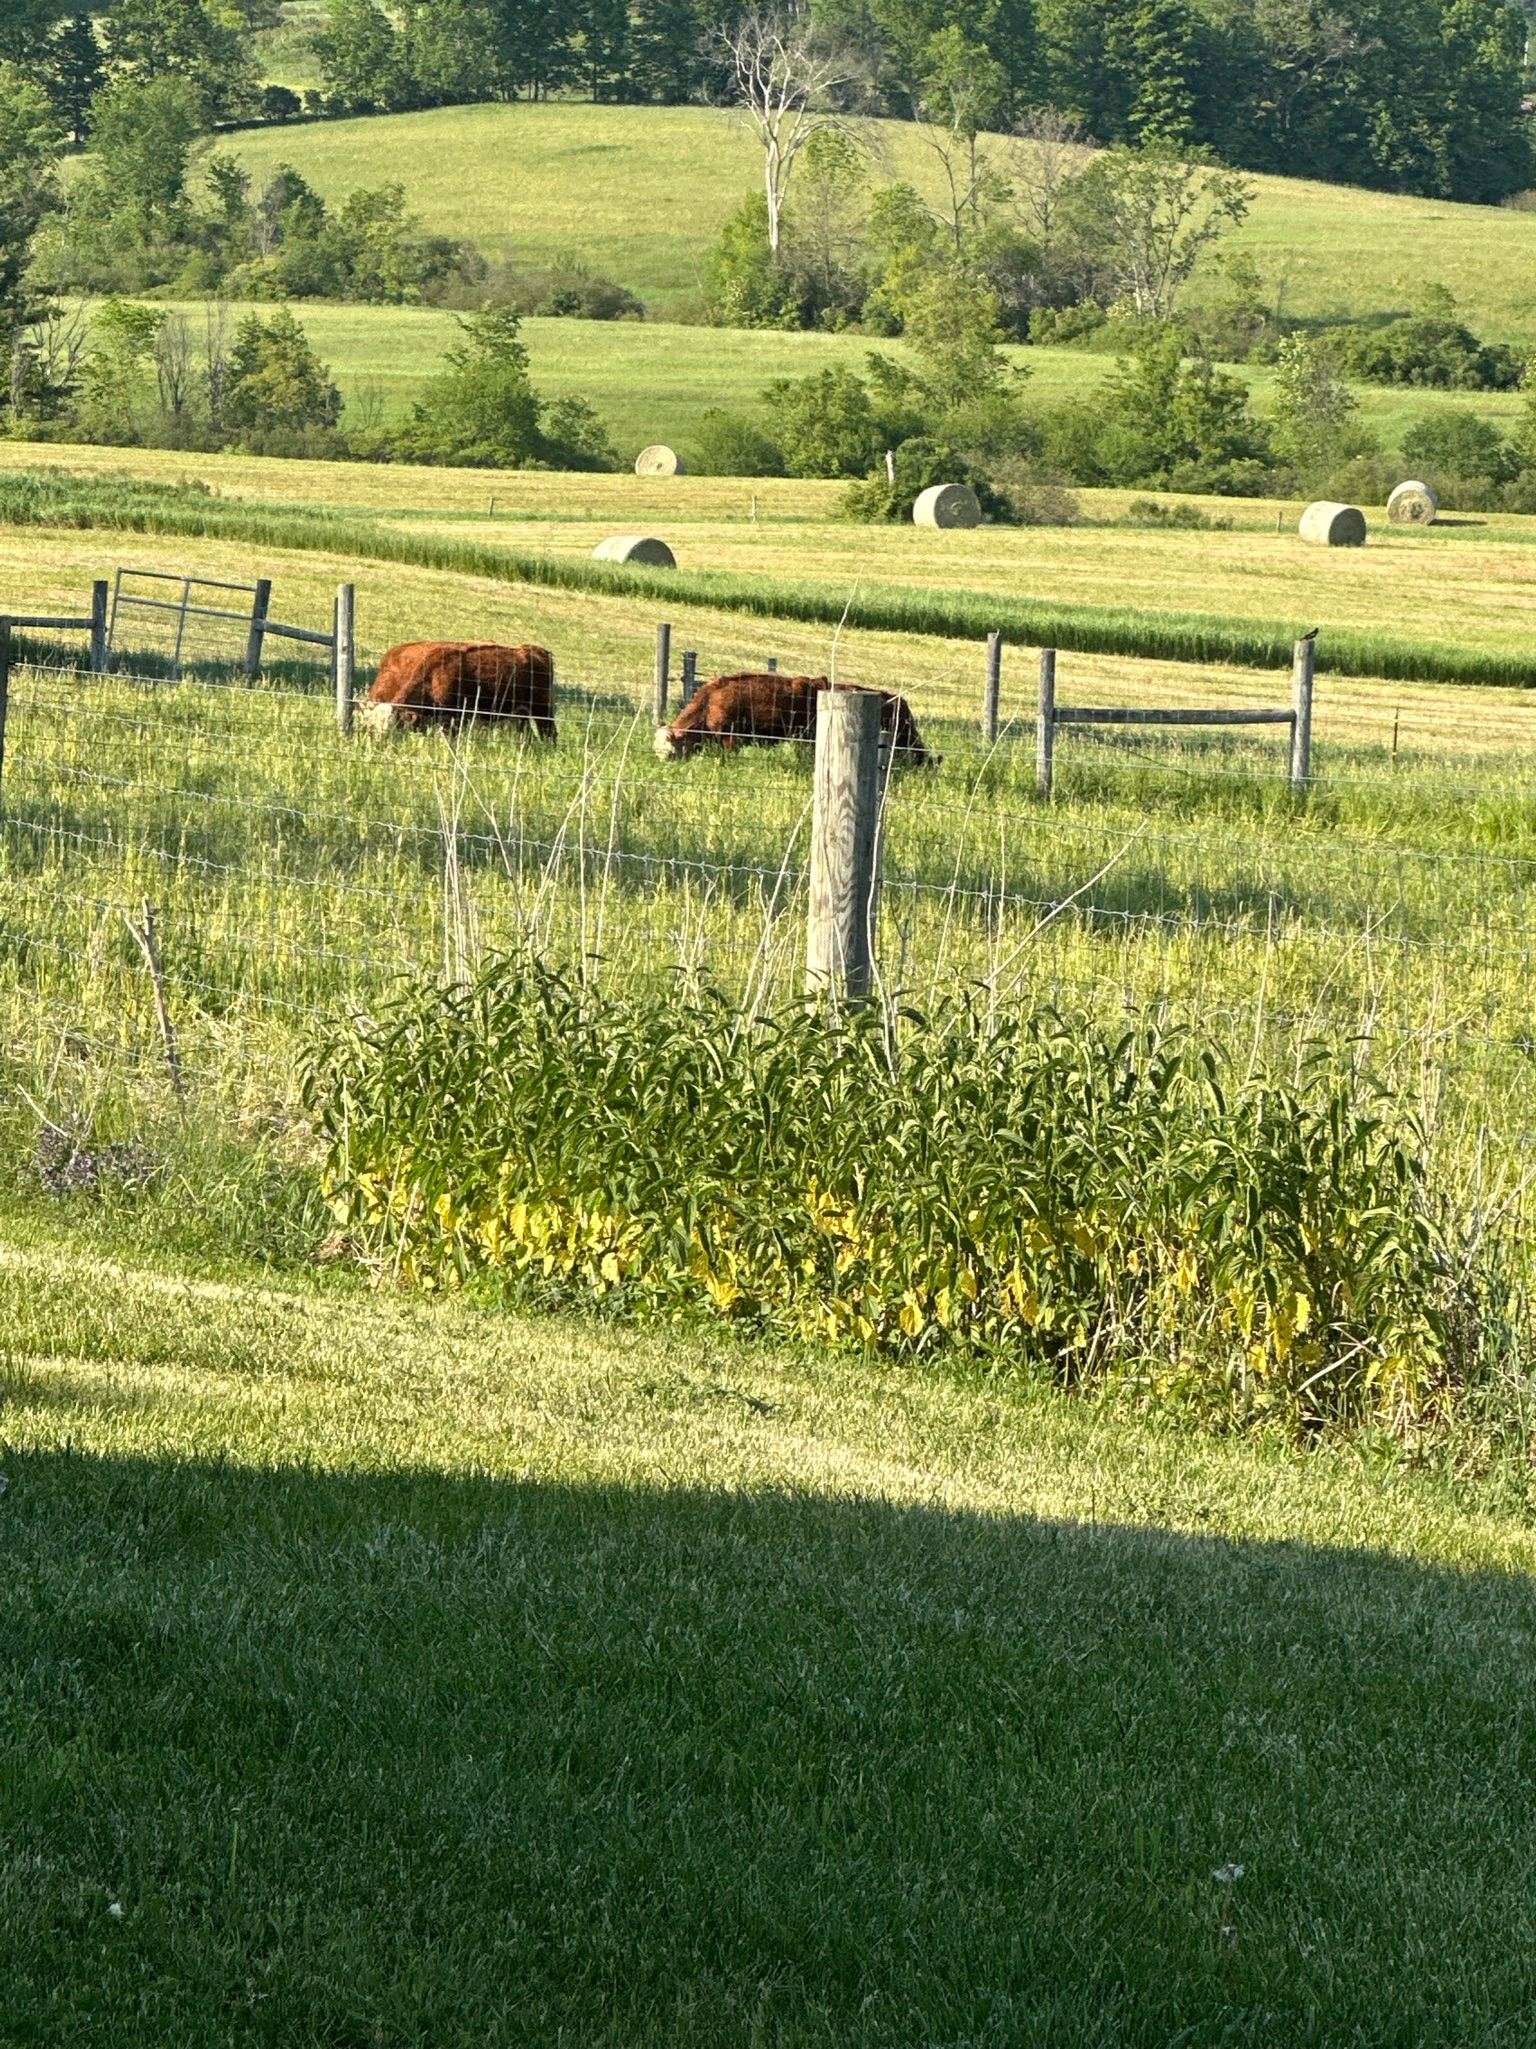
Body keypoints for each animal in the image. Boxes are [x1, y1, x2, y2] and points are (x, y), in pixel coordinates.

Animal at [359, 641, 557, 740]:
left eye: (394, 727)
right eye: (371, 726)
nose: (378, 742)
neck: (434, 676)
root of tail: (538, 651)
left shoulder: (454, 719)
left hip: (542, 710)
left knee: (550, 733)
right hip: (521, 713)